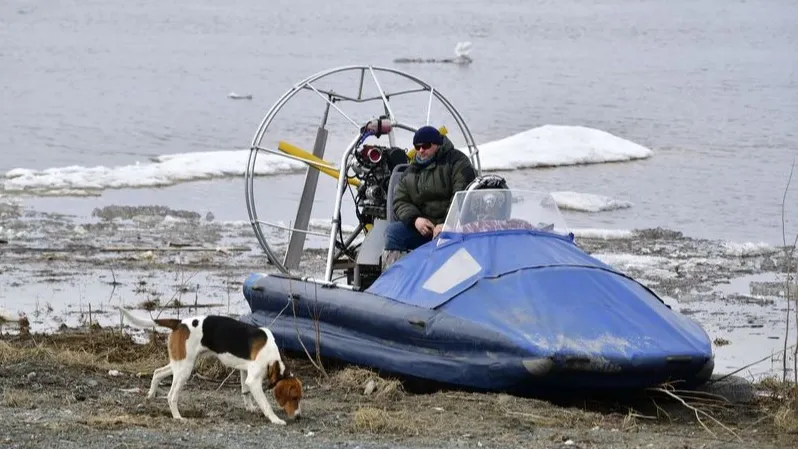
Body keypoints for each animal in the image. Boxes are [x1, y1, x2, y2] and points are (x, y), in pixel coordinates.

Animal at [118, 304, 304, 424]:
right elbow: (265, 404)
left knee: (157, 372)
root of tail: (180, 322)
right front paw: (275, 420)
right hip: (185, 369)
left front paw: (250, 408)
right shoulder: (254, 380)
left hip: (180, 363)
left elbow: (245, 392)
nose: (298, 416)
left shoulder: (244, 372)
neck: (273, 359)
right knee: (171, 396)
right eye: (294, 397)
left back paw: (150, 395)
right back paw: (178, 417)